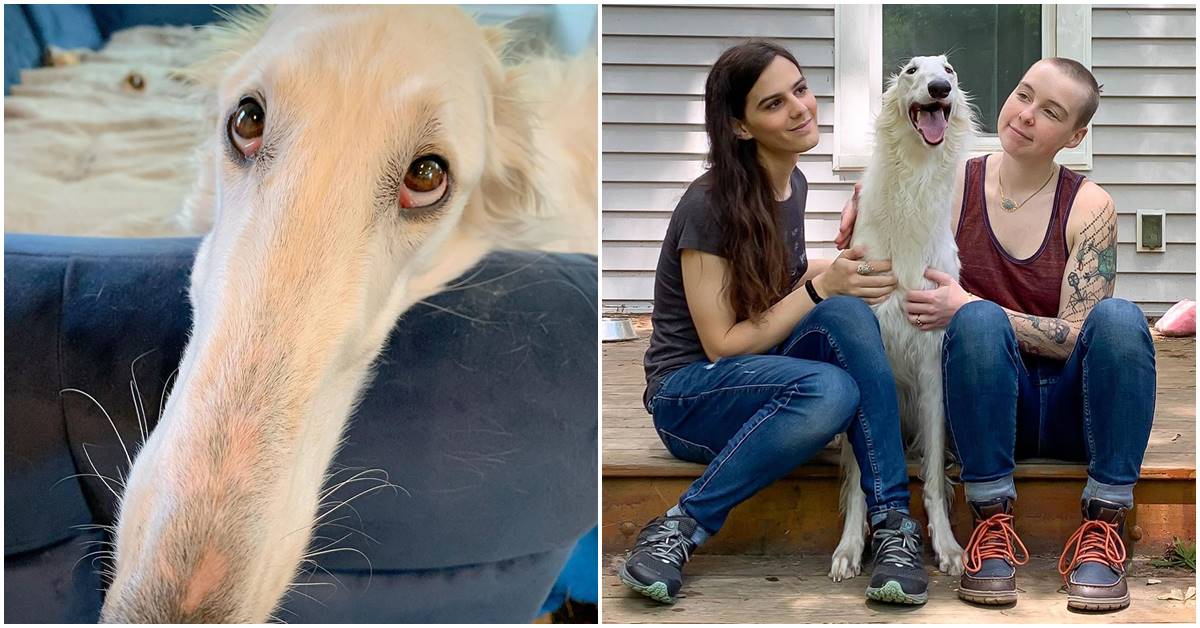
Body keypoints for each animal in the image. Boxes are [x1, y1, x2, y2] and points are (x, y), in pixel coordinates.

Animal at [830, 56, 979, 583]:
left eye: (950, 70)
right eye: (912, 70)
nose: (938, 88)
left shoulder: (932, 362)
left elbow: (933, 478)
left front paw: (948, 546)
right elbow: (861, 478)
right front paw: (850, 547)